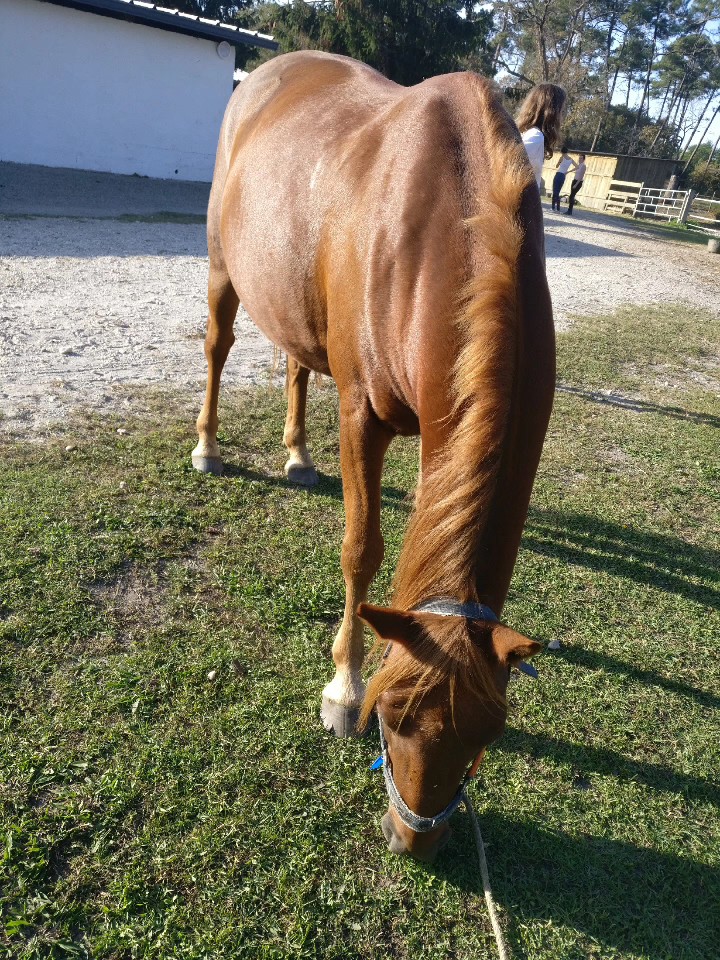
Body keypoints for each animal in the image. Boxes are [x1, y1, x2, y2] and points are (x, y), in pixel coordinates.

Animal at [192, 51, 555, 861]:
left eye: (490, 733)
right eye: (389, 718)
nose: (413, 841)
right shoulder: (363, 416)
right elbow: (362, 549)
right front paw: (341, 688)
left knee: (297, 367)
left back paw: (297, 455)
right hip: (224, 269)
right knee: (218, 348)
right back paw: (207, 443)